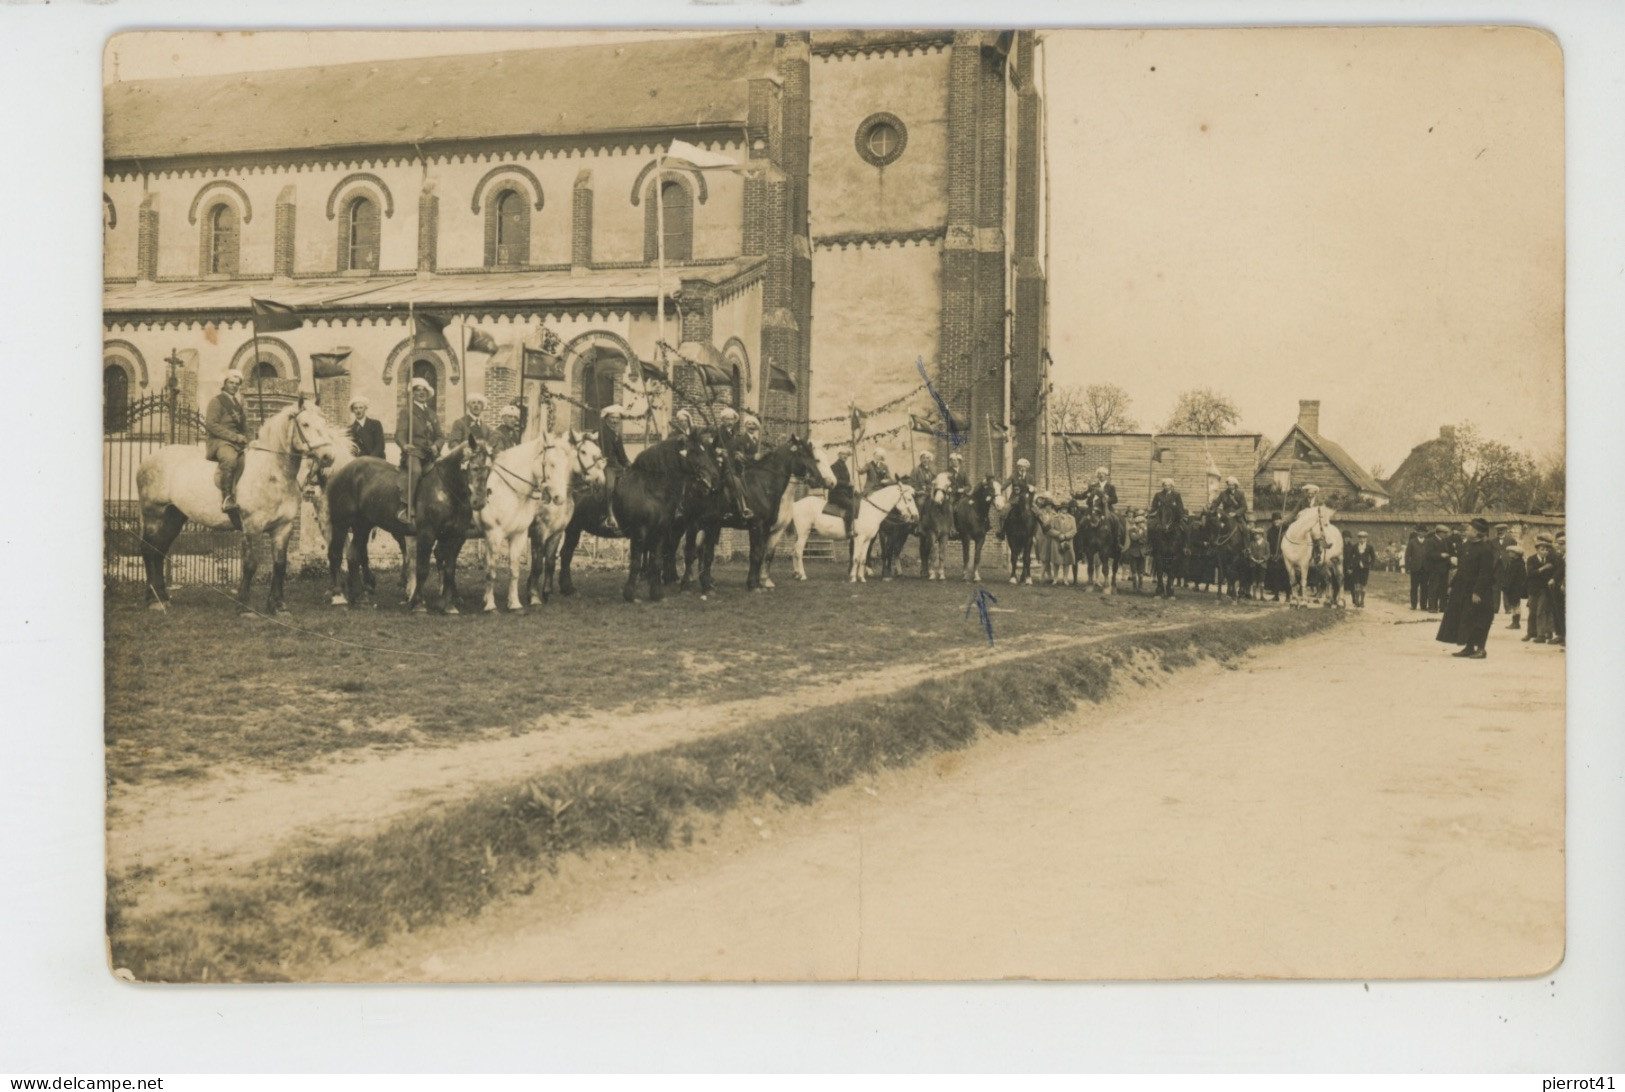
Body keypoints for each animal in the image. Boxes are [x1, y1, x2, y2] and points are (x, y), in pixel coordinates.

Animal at [136, 398, 342, 614]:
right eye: (305, 424)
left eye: (324, 423)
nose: (328, 456)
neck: (273, 473)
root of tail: (148, 460)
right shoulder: (253, 526)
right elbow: (250, 564)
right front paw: (244, 605)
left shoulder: (283, 527)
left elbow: (280, 564)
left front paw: (277, 605)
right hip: (154, 515)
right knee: (149, 549)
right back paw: (153, 600)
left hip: (173, 517)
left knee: (160, 550)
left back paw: (162, 597)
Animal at [474, 432, 604, 611]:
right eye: (583, 451)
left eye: (598, 450)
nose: (601, 481)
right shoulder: (538, 531)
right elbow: (536, 565)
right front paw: (533, 596)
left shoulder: (556, 533)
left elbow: (549, 562)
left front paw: (546, 593)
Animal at [793, 477, 923, 578]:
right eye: (909, 499)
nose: (916, 516)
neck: (871, 509)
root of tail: (796, 504)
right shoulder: (861, 537)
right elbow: (858, 556)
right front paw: (854, 576)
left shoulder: (868, 538)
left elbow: (863, 557)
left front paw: (860, 576)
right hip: (804, 533)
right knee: (798, 552)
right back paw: (802, 575)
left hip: (799, 535)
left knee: (794, 551)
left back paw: (796, 574)